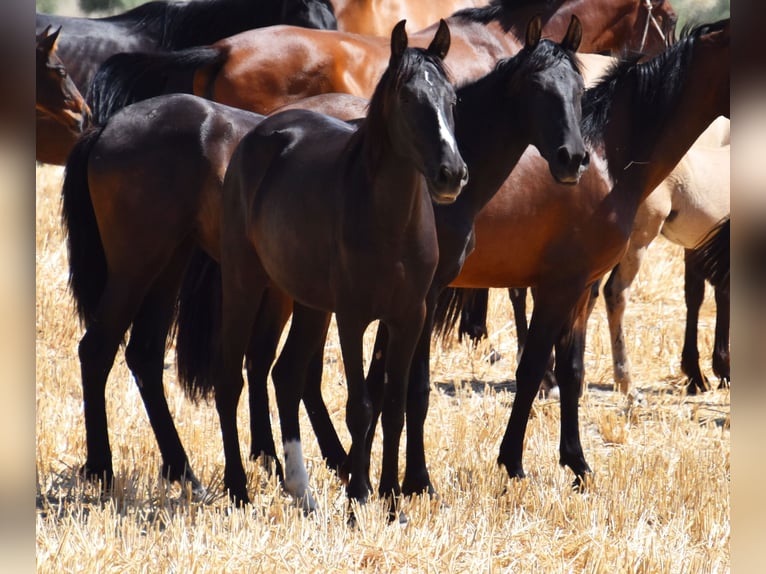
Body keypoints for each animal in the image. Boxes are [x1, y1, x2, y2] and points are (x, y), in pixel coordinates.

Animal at [176, 14, 588, 508]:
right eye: (539, 88)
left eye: (579, 90)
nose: (573, 158)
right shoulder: (420, 296)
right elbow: (408, 390)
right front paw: (411, 481)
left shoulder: (415, 299)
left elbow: (391, 388)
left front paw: (381, 478)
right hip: (259, 285)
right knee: (257, 370)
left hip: (292, 290)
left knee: (274, 368)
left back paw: (283, 464)